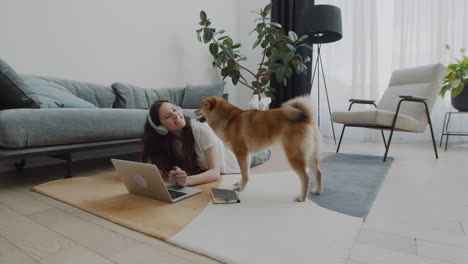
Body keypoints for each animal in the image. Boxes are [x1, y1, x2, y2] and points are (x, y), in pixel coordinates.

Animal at [194, 96, 322, 201]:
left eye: (201, 105)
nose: (195, 111)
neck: (230, 120)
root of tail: (306, 118)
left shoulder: (241, 154)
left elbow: (244, 173)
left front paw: (241, 188)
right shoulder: (246, 155)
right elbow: (246, 174)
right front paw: (240, 184)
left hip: (294, 156)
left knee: (306, 178)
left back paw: (302, 198)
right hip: (310, 156)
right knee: (318, 173)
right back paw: (317, 190)